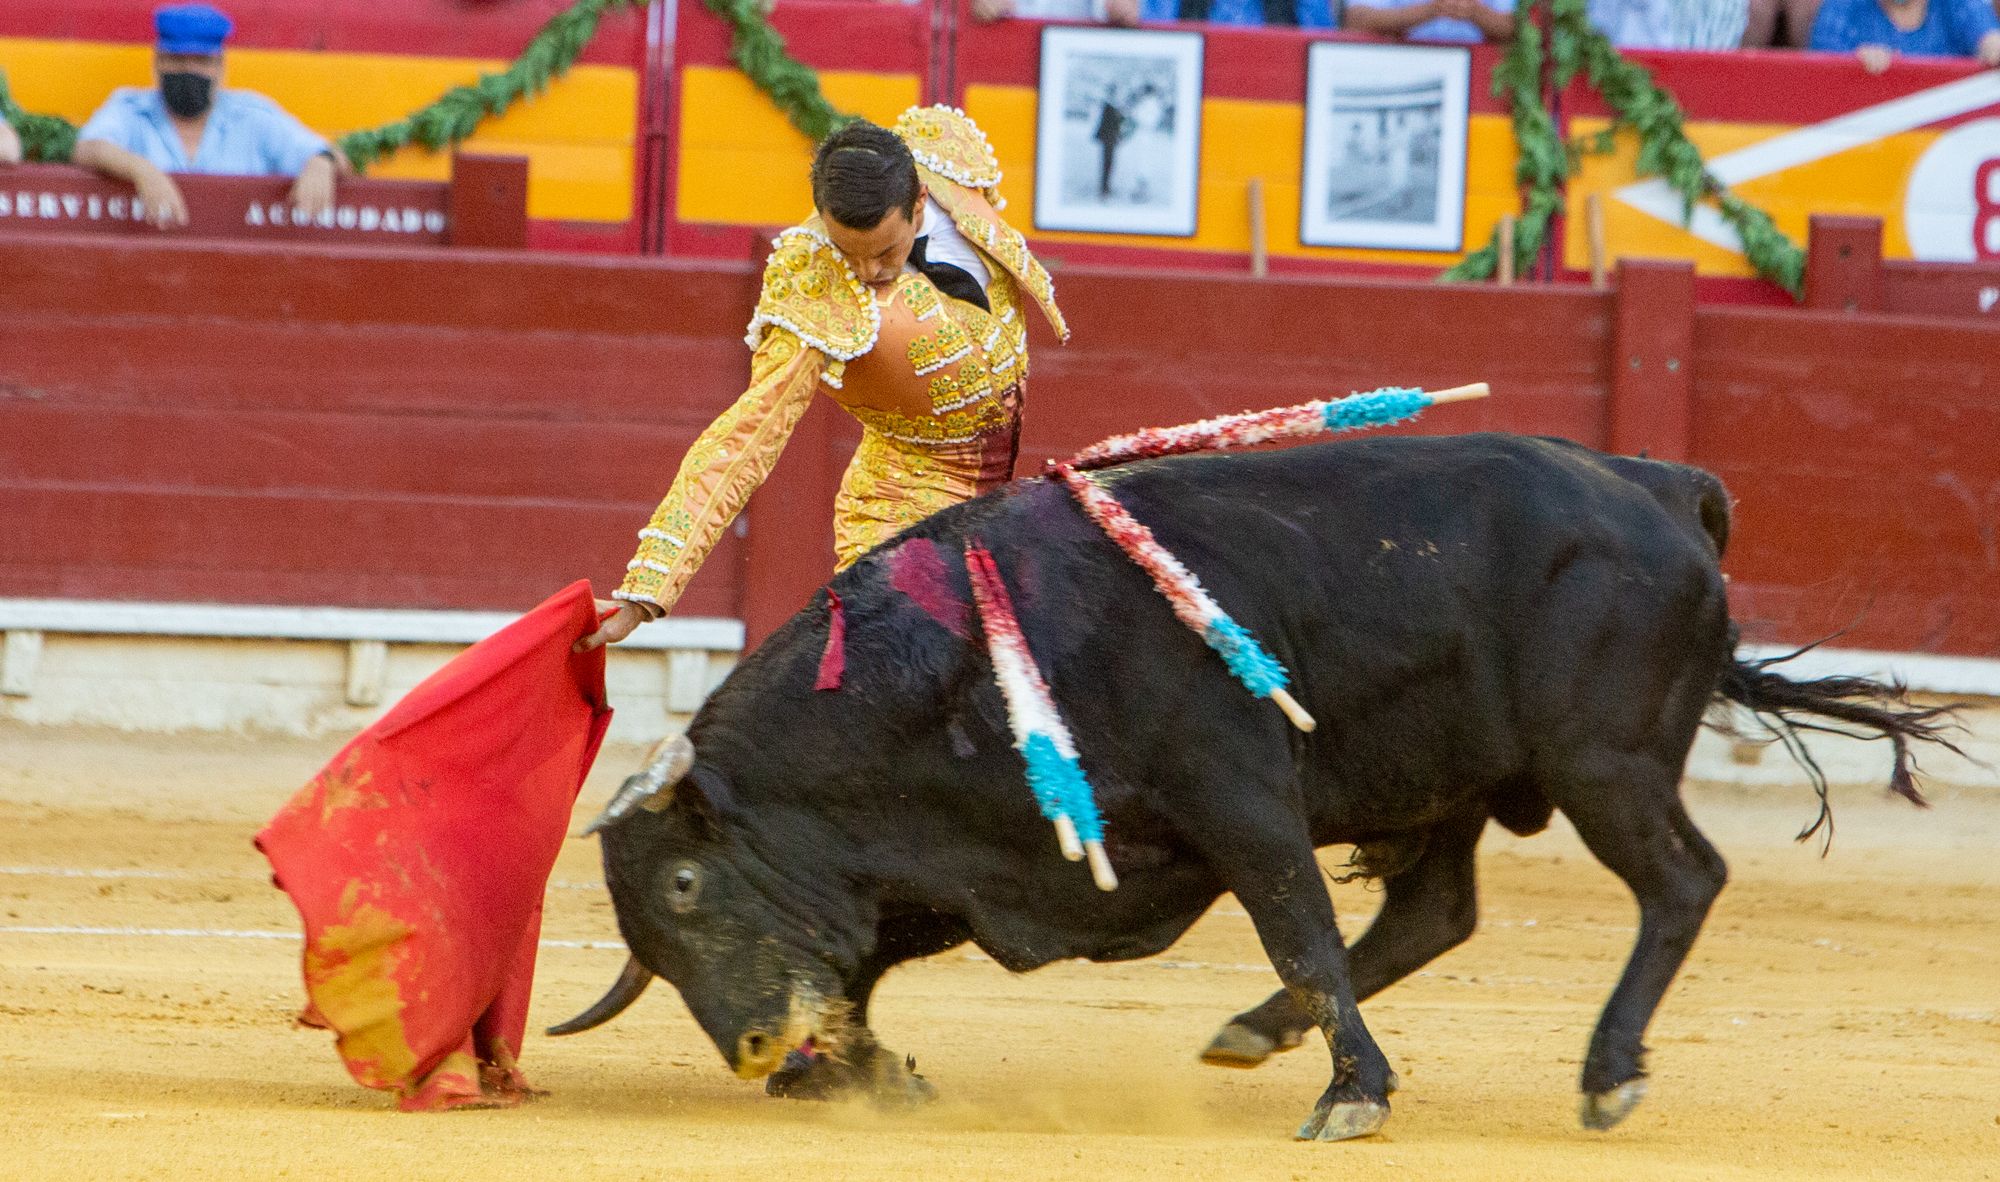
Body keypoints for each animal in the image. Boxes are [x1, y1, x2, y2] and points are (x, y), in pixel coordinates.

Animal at [552, 432, 1952, 1136]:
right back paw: (1253, 1033)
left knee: (1680, 880)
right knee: (1437, 913)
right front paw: (853, 1070)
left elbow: (1300, 927)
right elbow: (871, 954)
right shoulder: (986, 858)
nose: (749, 1048)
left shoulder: (1241, 805)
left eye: (684, 884)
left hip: (1600, 767)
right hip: (1447, 780)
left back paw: (1605, 1074)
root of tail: (1663, 487)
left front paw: (1354, 1097)